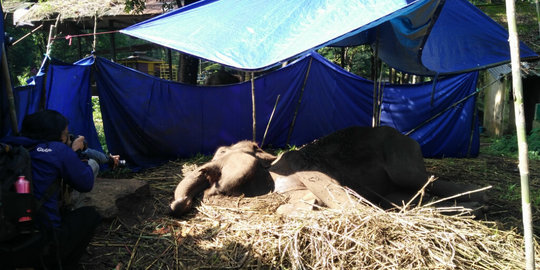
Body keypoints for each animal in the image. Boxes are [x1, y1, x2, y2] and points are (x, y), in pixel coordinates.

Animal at [170, 126, 486, 217]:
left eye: (222, 154)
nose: (177, 206)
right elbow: (290, 205)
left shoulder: (305, 168)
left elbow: (340, 197)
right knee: (405, 197)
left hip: (401, 156)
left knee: (422, 180)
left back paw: (477, 203)